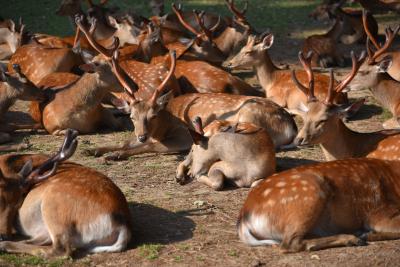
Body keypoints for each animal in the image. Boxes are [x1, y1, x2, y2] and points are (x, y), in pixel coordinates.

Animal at [0, 129, 131, 258]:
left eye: (19, 203)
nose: (3, 234)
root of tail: (122, 226)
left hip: (54, 205)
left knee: (61, 249)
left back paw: (4, 245)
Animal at [236, 156, 400, 252]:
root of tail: (244, 219)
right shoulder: (378, 212)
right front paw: (367, 234)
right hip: (310, 192)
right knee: (289, 244)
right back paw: (353, 239)